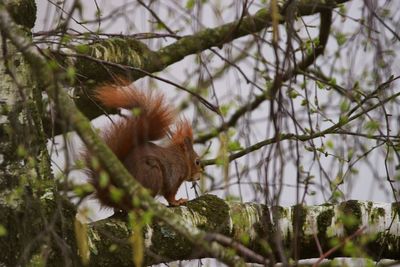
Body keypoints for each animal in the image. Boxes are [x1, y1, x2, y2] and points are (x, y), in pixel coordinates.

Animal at [84, 80, 203, 210]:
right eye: (197, 162)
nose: (200, 176)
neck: (181, 158)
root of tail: (119, 195)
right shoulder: (175, 173)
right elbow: (170, 193)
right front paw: (177, 201)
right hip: (152, 174)